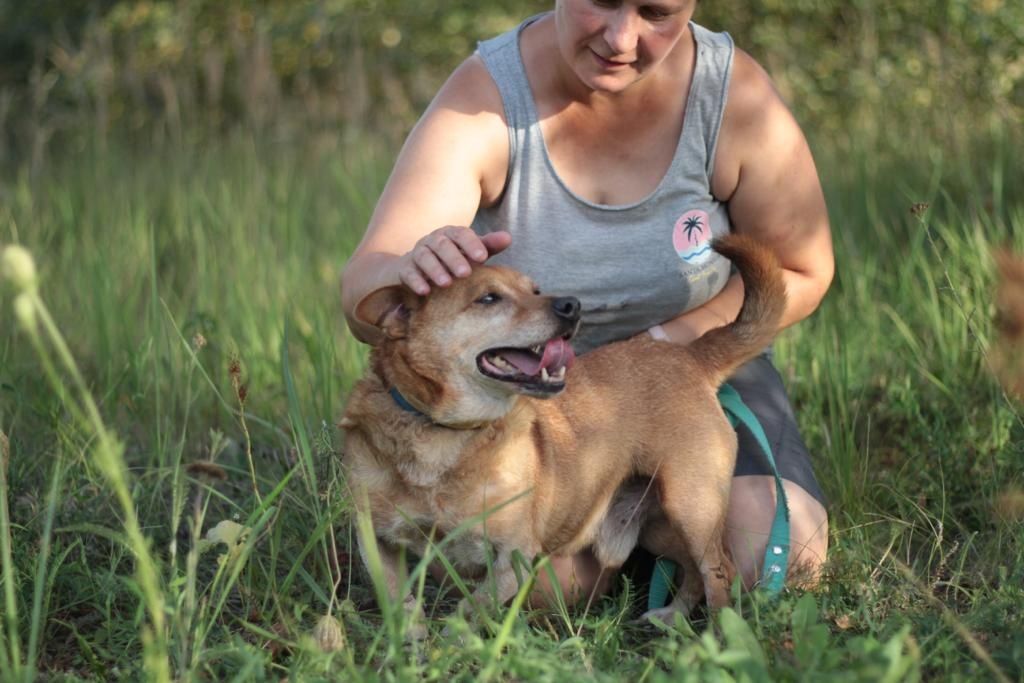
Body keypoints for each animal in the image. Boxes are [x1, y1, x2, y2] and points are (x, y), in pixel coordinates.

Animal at [339, 235, 786, 630]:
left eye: (535, 289)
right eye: (488, 298)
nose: (572, 305)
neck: (445, 434)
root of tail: (688, 355)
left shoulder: (514, 557)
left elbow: (469, 610)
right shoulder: (378, 545)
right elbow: (403, 610)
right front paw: (410, 652)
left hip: (692, 507)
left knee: (718, 570)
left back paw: (717, 637)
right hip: (660, 524)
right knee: (694, 568)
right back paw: (674, 617)